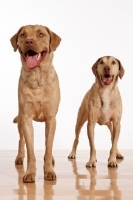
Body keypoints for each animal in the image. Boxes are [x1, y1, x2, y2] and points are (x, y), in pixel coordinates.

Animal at [10, 24, 61, 182]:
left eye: (41, 34)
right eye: (23, 35)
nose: (29, 41)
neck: (36, 77)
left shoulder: (51, 119)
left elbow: (48, 147)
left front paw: (49, 171)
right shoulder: (26, 119)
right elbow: (30, 150)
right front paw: (30, 173)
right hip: (20, 120)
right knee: (21, 141)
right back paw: (19, 157)